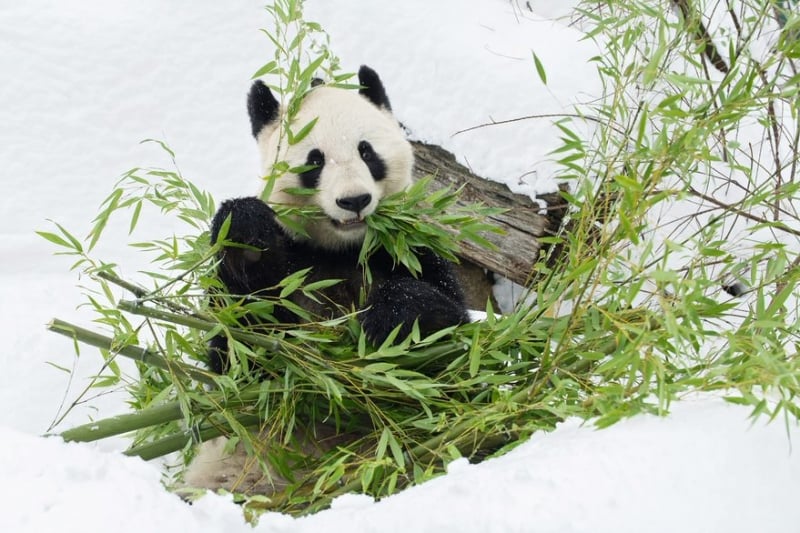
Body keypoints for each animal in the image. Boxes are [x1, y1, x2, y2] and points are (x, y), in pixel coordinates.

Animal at [181, 66, 468, 494]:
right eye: (313, 161)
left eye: (367, 152)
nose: (354, 200)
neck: (342, 249)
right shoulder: (293, 267)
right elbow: (241, 357)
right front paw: (248, 235)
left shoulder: (409, 251)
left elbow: (450, 340)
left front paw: (389, 318)